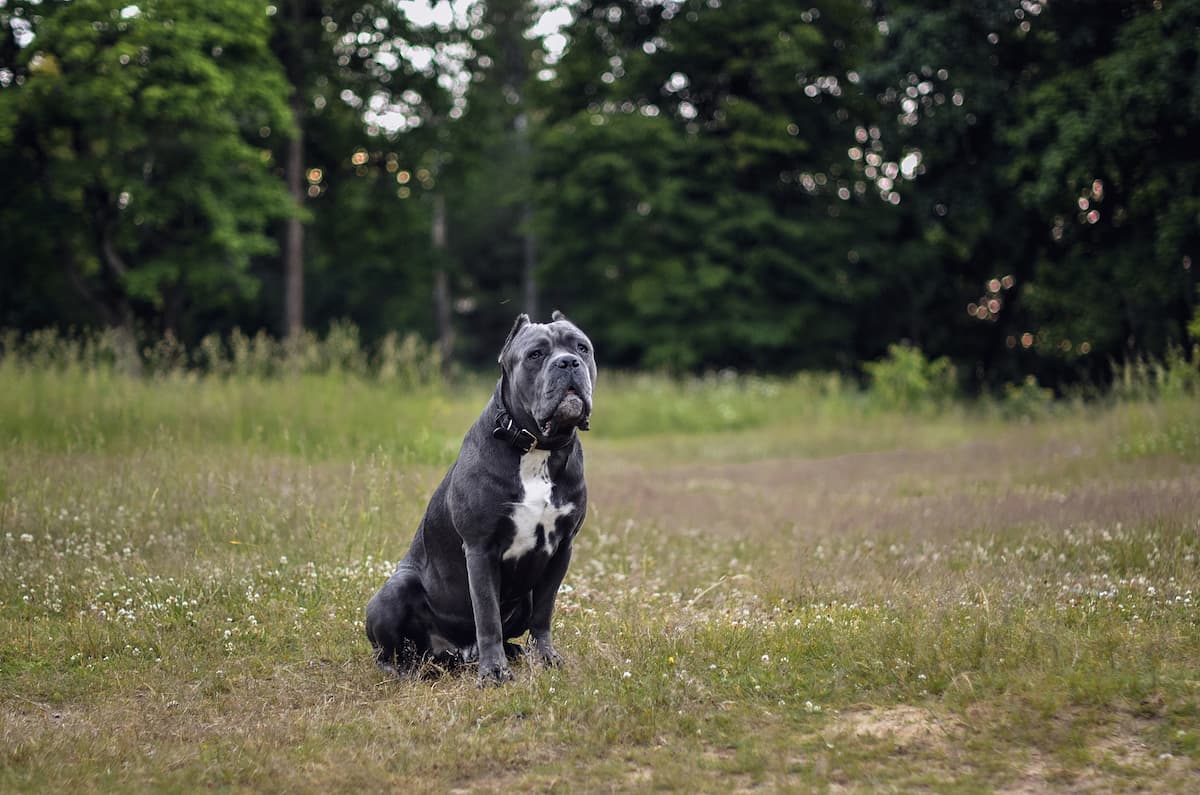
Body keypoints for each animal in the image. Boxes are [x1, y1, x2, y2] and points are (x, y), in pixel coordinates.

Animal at [360, 312, 595, 686]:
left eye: (582, 348)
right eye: (536, 355)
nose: (568, 362)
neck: (536, 447)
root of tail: (452, 653)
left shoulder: (562, 548)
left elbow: (544, 613)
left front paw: (545, 658)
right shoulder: (481, 549)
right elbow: (487, 615)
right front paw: (494, 673)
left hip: (523, 597)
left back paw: (515, 653)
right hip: (394, 591)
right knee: (388, 651)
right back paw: (402, 670)